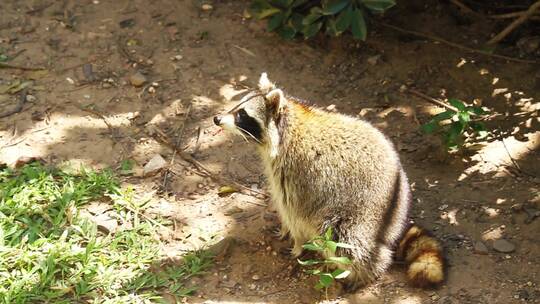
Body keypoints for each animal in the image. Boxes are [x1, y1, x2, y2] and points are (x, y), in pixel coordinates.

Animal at [213, 73, 446, 290]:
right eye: (237, 105)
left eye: (242, 114)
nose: (216, 119)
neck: (286, 125)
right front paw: (285, 230)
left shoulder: (296, 175)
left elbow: (294, 212)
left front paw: (297, 243)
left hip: (361, 212)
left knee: (346, 241)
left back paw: (362, 273)